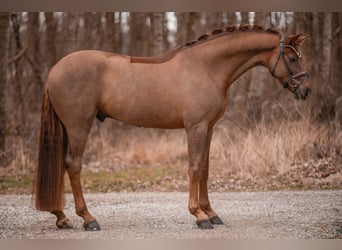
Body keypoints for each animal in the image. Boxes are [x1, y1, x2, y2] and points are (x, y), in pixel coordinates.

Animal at [34, 23, 310, 230]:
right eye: (292, 58)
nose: (306, 91)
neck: (207, 67)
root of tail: (56, 69)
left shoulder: (209, 128)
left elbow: (205, 169)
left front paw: (211, 213)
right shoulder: (196, 128)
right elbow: (195, 168)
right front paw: (199, 216)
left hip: (67, 129)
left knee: (62, 165)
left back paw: (62, 217)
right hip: (79, 126)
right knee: (73, 165)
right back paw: (88, 218)